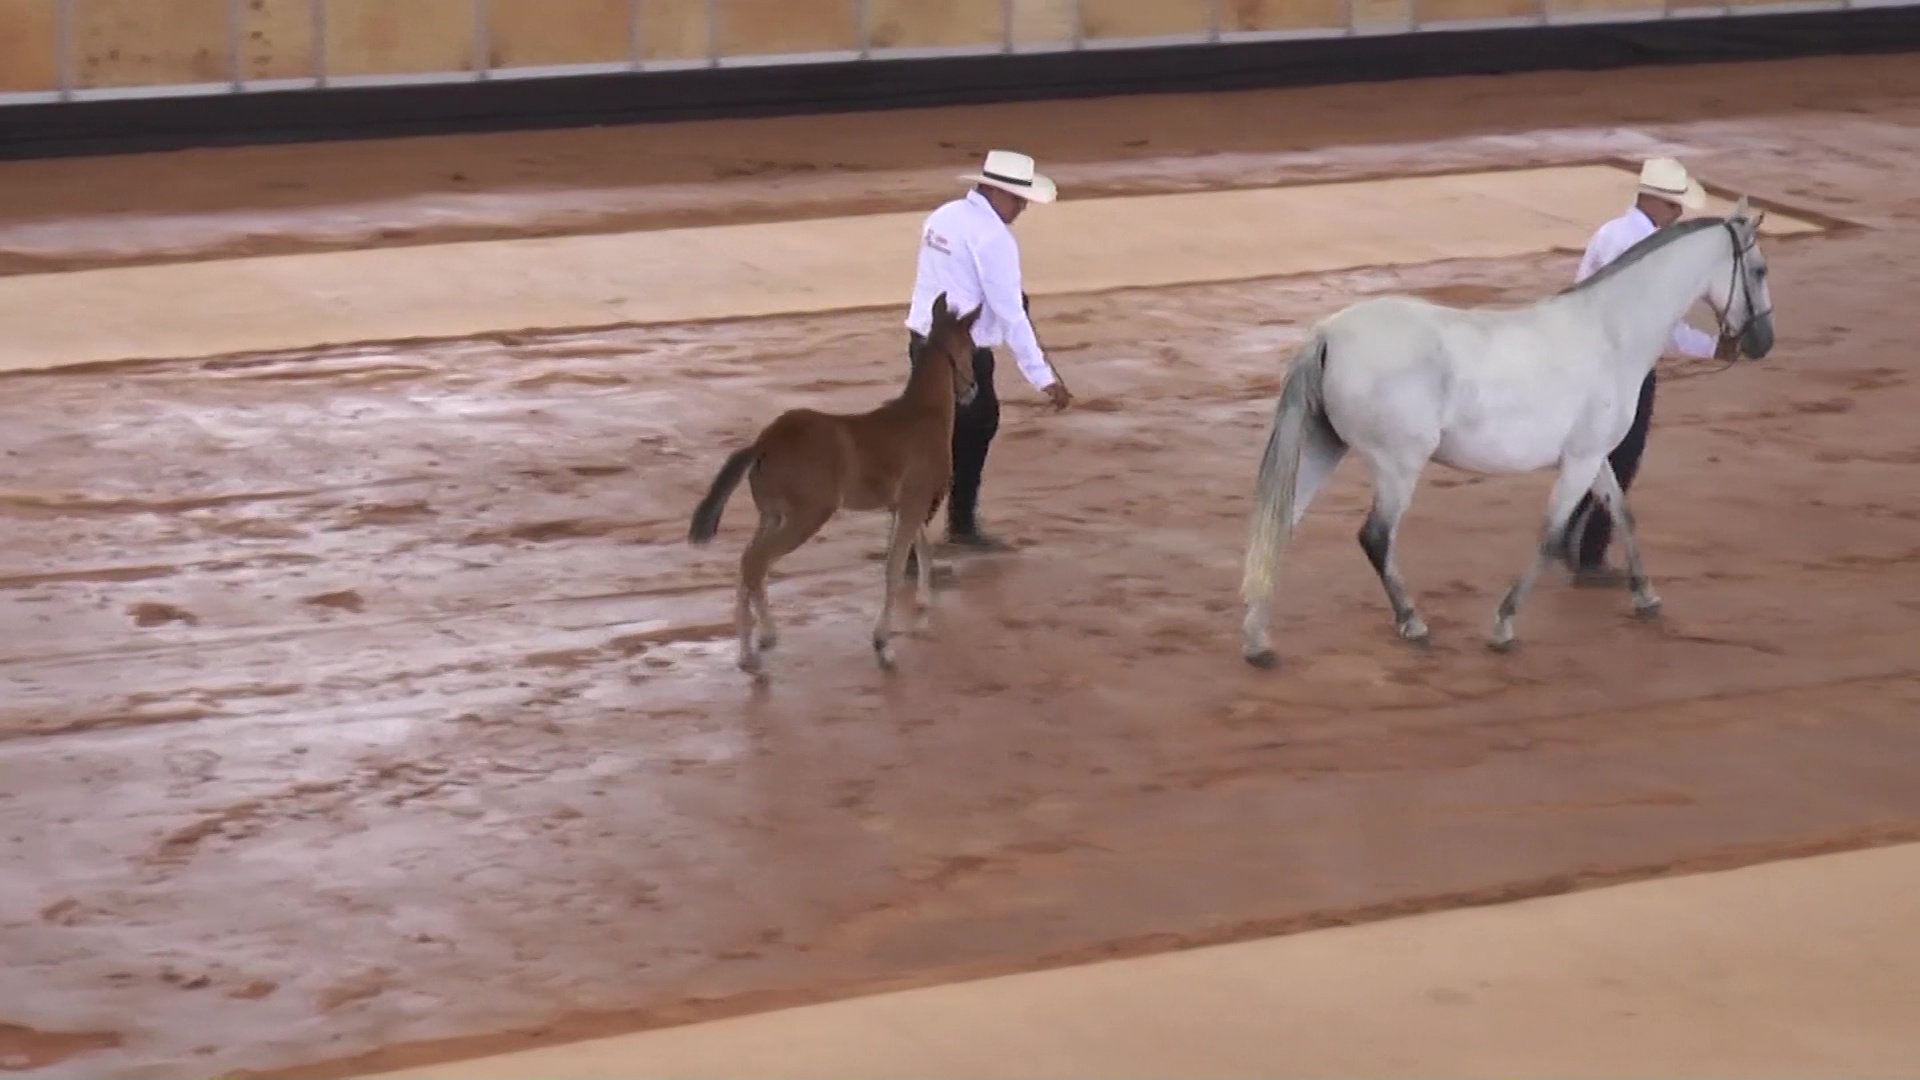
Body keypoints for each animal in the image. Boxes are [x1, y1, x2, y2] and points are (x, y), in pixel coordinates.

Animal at [687, 290, 983, 668]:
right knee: (756, 563)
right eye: (971, 347)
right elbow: (894, 566)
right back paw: (760, 642)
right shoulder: (915, 501)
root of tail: (764, 442)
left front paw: (923, 604)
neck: (922, 414)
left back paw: (749, 646)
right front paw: (883, 643)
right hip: (808, 514)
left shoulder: (904, 505)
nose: (972, 389)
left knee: (746, 562)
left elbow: (921, 551)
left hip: (771, 515)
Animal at [1236, 194, 1774, 664]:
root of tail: (1328, 333)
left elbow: (1622, 513)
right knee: (1375, 537)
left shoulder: (1592, 456)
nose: (1762, 342)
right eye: (1759, 270)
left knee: (1282, 525)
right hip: (1397, 466)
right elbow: (1550, 535)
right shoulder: (1578, 462)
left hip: (1325, 448)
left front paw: (1645, 595)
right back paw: (1412, 622)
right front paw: (1503, 624)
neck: (1610, 333)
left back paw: (1258, 639)